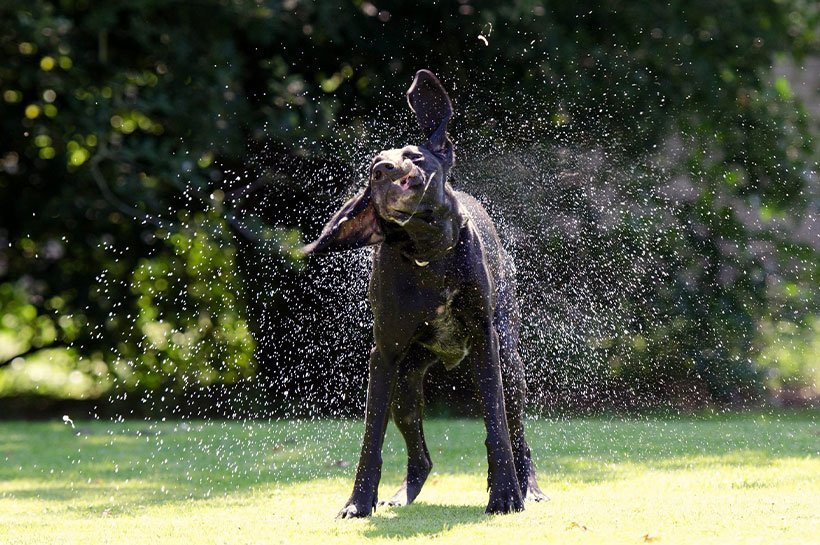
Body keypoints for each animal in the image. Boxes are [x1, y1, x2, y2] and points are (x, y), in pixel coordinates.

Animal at [302, 69, 544, 520]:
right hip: (407, 383)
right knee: (421, 456)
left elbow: (497, 428)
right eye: (372, 166)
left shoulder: (485, 342)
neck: (428, 253)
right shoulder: (384, 355)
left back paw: (531, 487)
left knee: (519, 433)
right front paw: (359, 501)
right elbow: (371, 439)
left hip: (510, 362)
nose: (381, 169)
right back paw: (402, 493)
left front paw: (505, 494)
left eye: (415, 157)